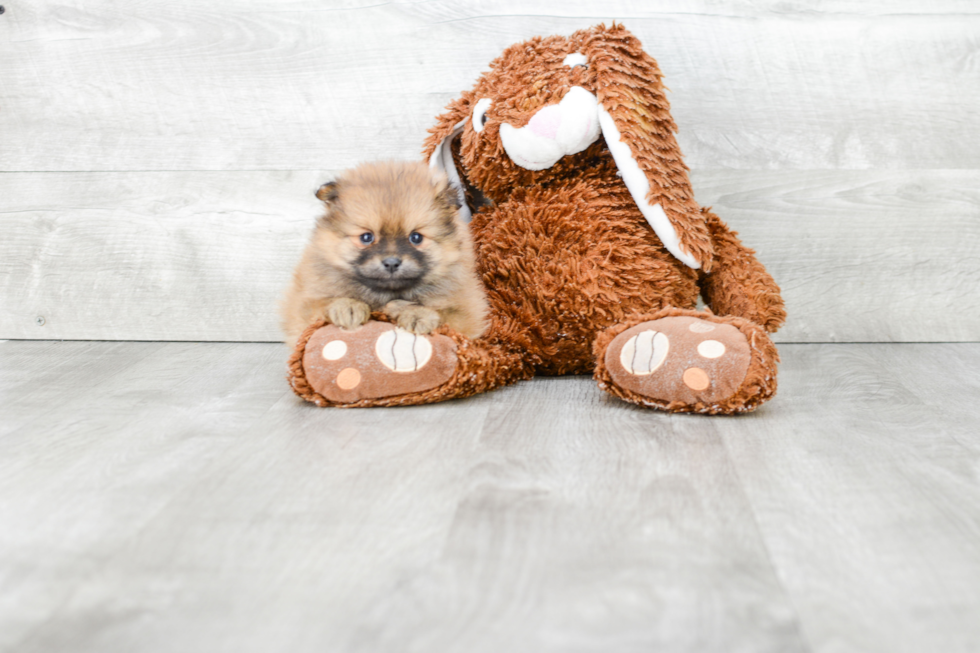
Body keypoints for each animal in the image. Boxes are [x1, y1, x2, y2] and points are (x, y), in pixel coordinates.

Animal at [278, 161, 488, 348]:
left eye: (416, 237)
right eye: (366, 237)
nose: (392, 262)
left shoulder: (468, 315)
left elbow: (444, 313)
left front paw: (416, 314)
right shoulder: (302, 307)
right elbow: (322, 304)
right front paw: (348, 306)